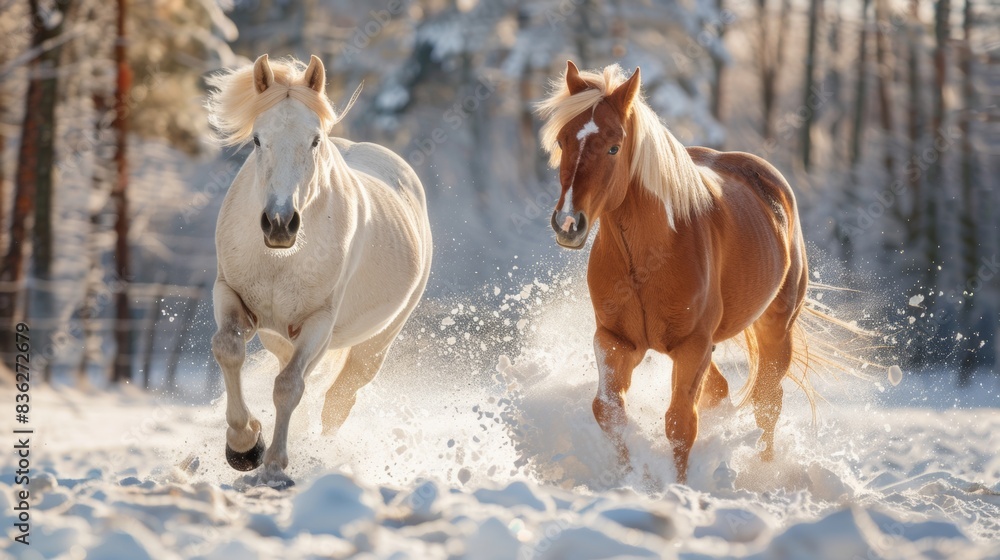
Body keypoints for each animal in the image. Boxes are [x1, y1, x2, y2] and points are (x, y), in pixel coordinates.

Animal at [205, 54, 432, 487]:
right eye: (257, 140)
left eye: (314, 140)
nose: (279, 224)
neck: (281, 260)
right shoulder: (230, 294)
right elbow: (228, 349)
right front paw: (244, 446)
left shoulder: (319, 323)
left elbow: (289, 387)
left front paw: (273, 466)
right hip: (278, 337)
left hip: (373, 346)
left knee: (338, 399)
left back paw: (323, 454)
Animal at [536, 61, 813, 483]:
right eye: (564, 141)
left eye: (614, 146)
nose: (568, 223)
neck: (649, 259)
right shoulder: (616, 340)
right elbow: (608, 410)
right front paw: (629, 476)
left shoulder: (692, 347)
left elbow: (681, 424)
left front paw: (679, 489)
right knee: (722, 392)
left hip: (775, 331)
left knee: (767, 404)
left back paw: (765, 472)